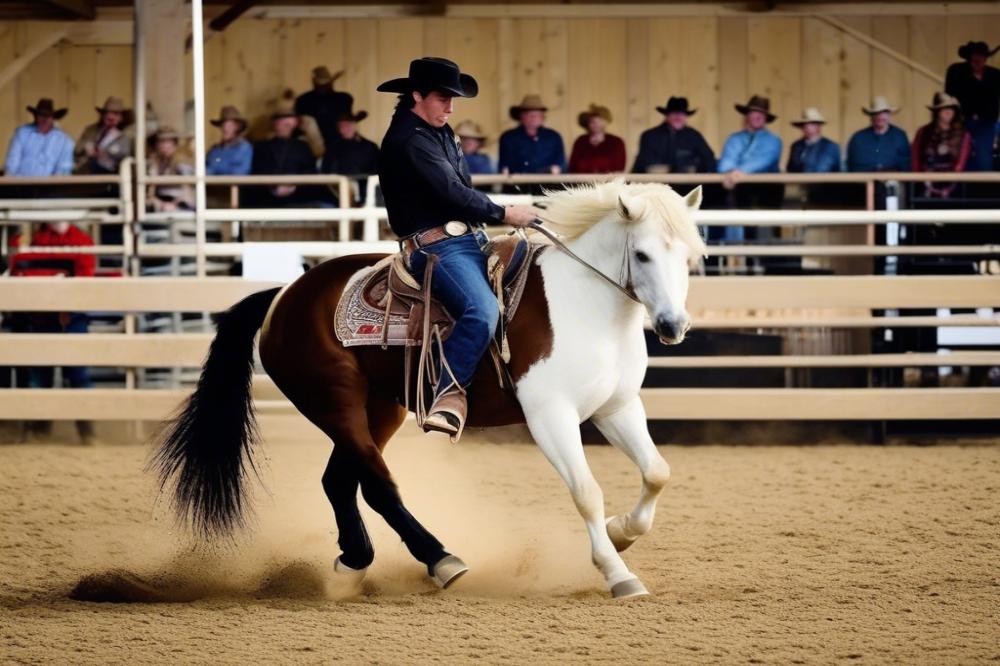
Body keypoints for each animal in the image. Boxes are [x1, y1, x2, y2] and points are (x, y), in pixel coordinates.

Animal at [152, 179, 708, 600]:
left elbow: (658, 472)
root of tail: (285, 294)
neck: (583, 304)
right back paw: (440, 558)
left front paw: (622, 533)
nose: (673, 325)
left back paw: (353, 564)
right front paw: (618, 573)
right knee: (377, 484)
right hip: (334, 401)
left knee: (341, 482)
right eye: (642, 254)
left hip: (380, 408)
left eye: (689, 257)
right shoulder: (551, 416)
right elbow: (587, 492)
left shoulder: (617, 408)